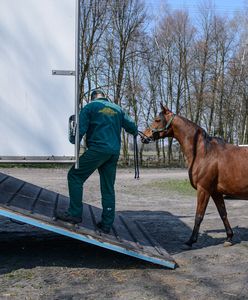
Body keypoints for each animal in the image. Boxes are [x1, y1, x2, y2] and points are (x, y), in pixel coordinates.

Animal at [140, 103, 248, 248]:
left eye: (157, 120)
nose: (143, 136)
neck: (204, 153)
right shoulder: (216, 192)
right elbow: (223, 213)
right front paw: (229, 238)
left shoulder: (204, 190)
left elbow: (199, 216)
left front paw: (191, 240)